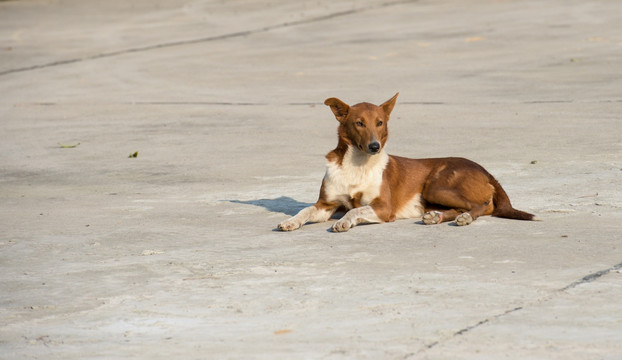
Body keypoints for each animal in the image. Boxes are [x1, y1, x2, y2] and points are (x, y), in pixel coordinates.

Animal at [280, 94, 536, 232]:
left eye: (380, 122)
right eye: (359, 123)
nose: (375, 146)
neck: (358, 164)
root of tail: (487, 171)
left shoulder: (384, 208)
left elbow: (356, 209)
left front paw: (344, 222)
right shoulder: (327, 204)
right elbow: (306, 209)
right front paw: (290, 221)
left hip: (436, 185)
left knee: (481, 205)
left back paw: (464, 218)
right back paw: (436, 217)